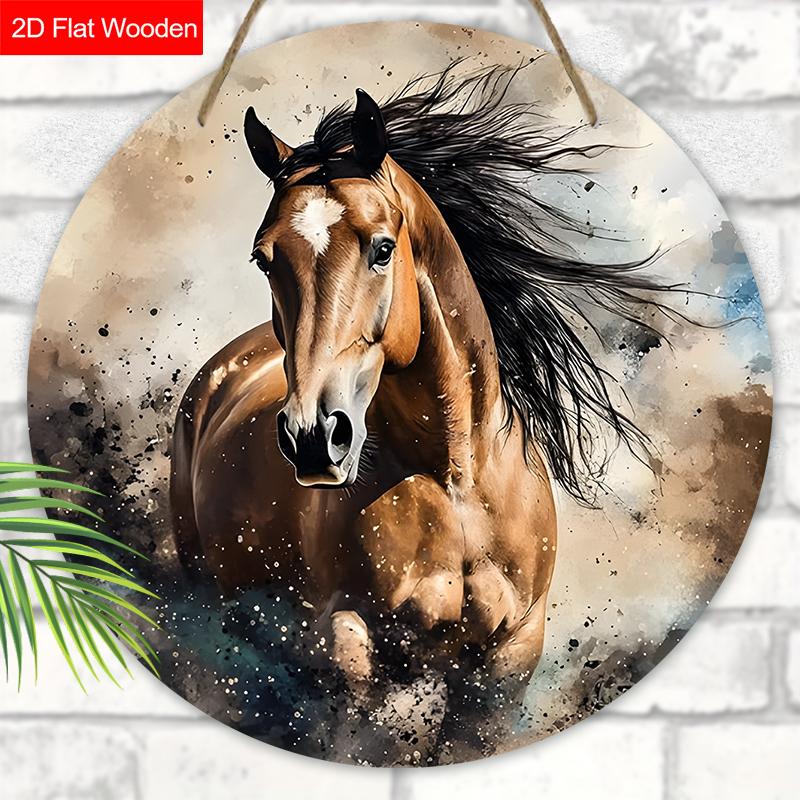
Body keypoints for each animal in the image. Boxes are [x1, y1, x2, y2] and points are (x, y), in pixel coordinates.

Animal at [170, 66, 670, 752]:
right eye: (263, 258)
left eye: (383, 248)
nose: (313, 436)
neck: (454, 478)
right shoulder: (347, 643)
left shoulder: (507, 661)